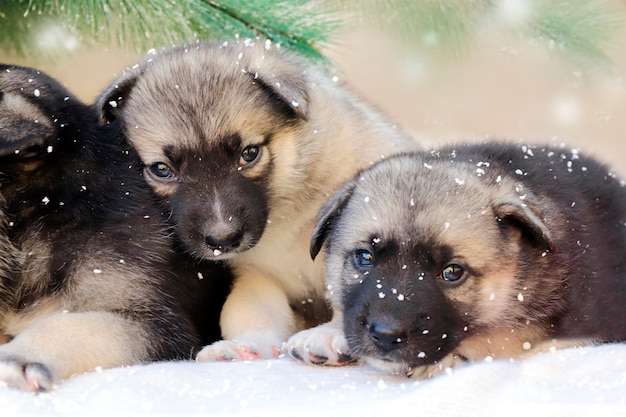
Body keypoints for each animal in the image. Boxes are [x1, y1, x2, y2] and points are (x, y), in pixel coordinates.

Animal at [96, 39, 420, 360]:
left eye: (249, 153)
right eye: (162, 169)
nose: (222, 240)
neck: (289, 215)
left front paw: (327, 335)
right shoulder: (258, 276)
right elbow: (249, 313)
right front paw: (245, 345)